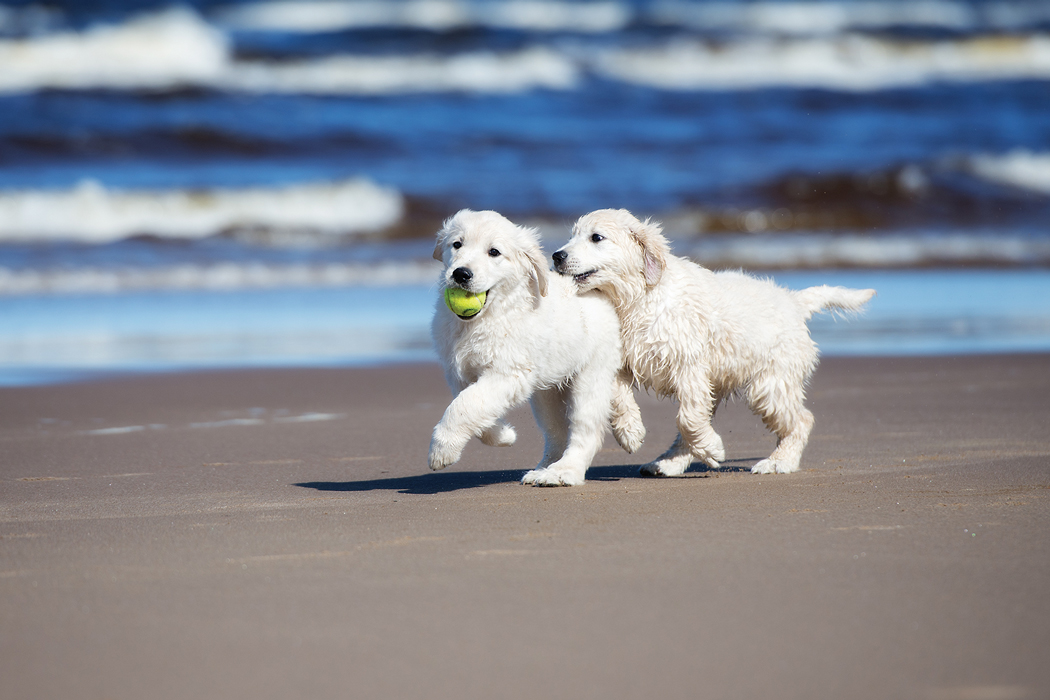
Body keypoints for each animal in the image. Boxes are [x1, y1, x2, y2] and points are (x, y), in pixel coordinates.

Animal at [428, 207, 642, 486]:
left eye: (494, 252)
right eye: (457, 244)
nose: (461, 274)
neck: (485, 318)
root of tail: (602, 293)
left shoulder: (508, 372)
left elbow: (465, 405)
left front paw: (442, 450)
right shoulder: (460, 374)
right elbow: (474, 405)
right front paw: (503, 435)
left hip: (591, 377)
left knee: (586, 430)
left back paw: (566, 471)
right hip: (546, 393)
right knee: (556, 432)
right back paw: (544, 469)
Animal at [554, 209, 873, 476]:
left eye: (596, 237)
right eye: (572, 235)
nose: (557, 256)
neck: (640, 298)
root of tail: (793, 301)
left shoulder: (689, 364)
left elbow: (688, 418)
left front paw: (712, 448)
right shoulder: (623, 361)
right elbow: (619, 397)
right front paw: (630, 432)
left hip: (769, 384)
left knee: (802, 420)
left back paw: (779, 461)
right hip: (726, 381)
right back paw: (668, 462)